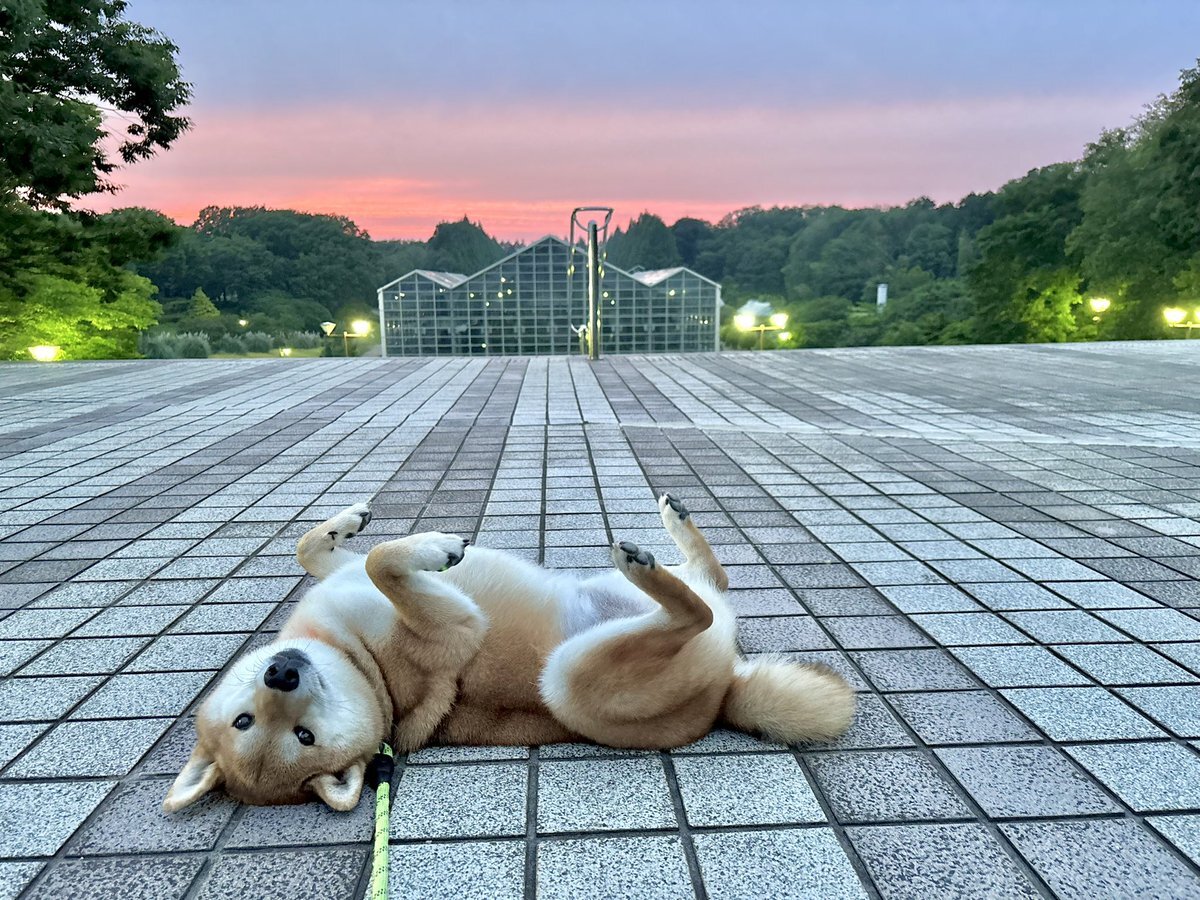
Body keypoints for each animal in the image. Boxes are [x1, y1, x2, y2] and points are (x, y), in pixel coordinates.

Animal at [163, 495, 855, 812]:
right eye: (298, 738)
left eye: (244, 718)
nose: (281, 673)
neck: (359, 661)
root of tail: (725, 693)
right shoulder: (455, 630)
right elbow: (388, 563)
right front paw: (436, 548)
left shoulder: (340, 576)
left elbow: (321, 548)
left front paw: (352, 521)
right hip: (569, 682)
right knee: (699, 609)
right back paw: (643, 567)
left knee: (715, 579)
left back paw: (672, 525)